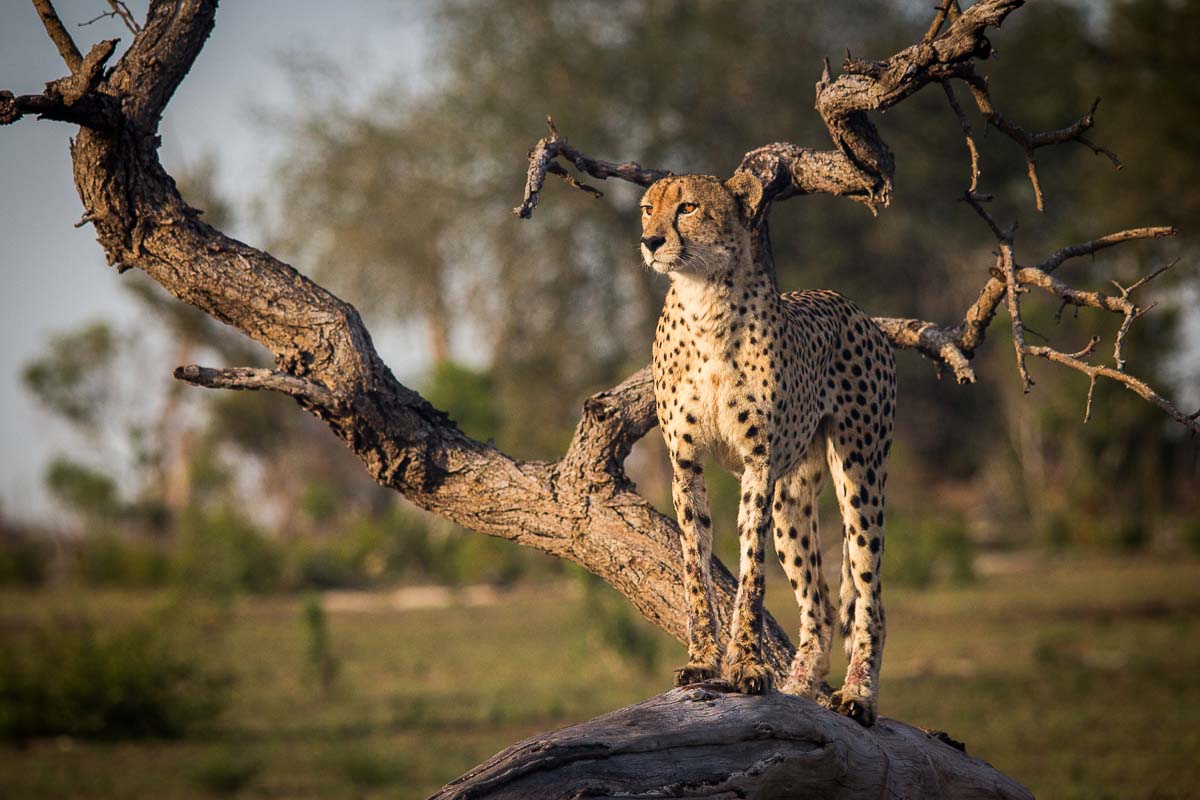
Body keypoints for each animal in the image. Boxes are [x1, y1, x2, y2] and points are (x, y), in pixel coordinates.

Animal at [641, 172, 896, 726]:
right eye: (648, 208)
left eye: (688, 207)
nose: (650, 241)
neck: (704, 301)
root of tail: (849, 303)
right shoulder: (685, 464)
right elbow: (694, 565)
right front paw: (702, 661)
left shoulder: (758, 465)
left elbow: (751, 573)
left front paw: (747, 667)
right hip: (792, 497)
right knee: (819, 603)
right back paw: (798, 689)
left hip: (860, 470)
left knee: (868, 589)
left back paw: (858, 694)